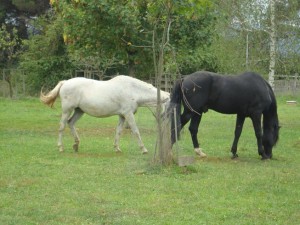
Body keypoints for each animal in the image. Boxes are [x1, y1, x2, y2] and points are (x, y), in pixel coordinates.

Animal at [40, 74, 170, 154]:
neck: (133, 90)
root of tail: (65, 82)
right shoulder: (128, 114)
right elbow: (136, 131)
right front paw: (144, 149)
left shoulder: (122, 116)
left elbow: (118, 132)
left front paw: (117, 148)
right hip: (67, 110)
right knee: (62, 126)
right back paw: (61, 147)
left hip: (79, 111)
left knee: (70, 123)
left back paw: (76, 145)